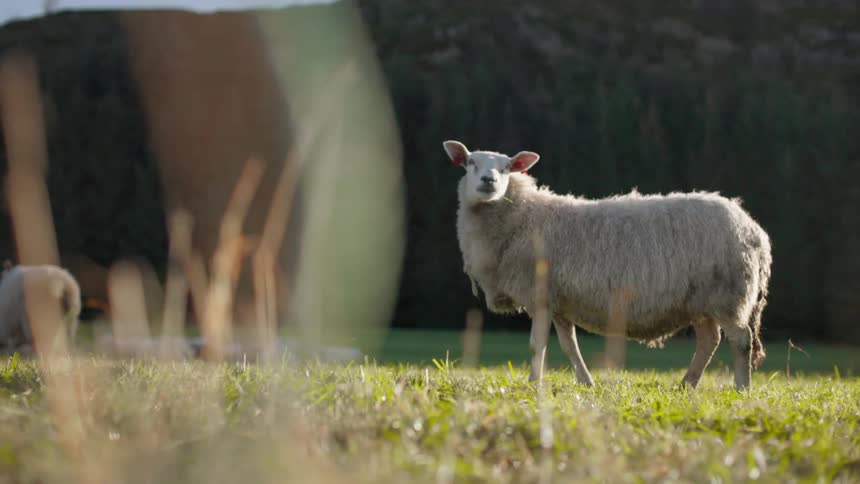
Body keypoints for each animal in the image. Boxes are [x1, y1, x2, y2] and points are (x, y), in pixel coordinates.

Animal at [443, 140, 772, 390]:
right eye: (470, 162)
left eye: (507, 167)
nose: (489, 181)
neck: (523, 216)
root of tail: (754, 229)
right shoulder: (559, 302)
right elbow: (569, 346)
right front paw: (585, 382)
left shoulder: (540, 295)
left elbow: (538, 345)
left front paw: (534, 384)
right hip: (703, 300)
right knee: (709, 341)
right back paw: (686, 384)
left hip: (728, 295)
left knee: (741, 340)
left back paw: (741, 387)